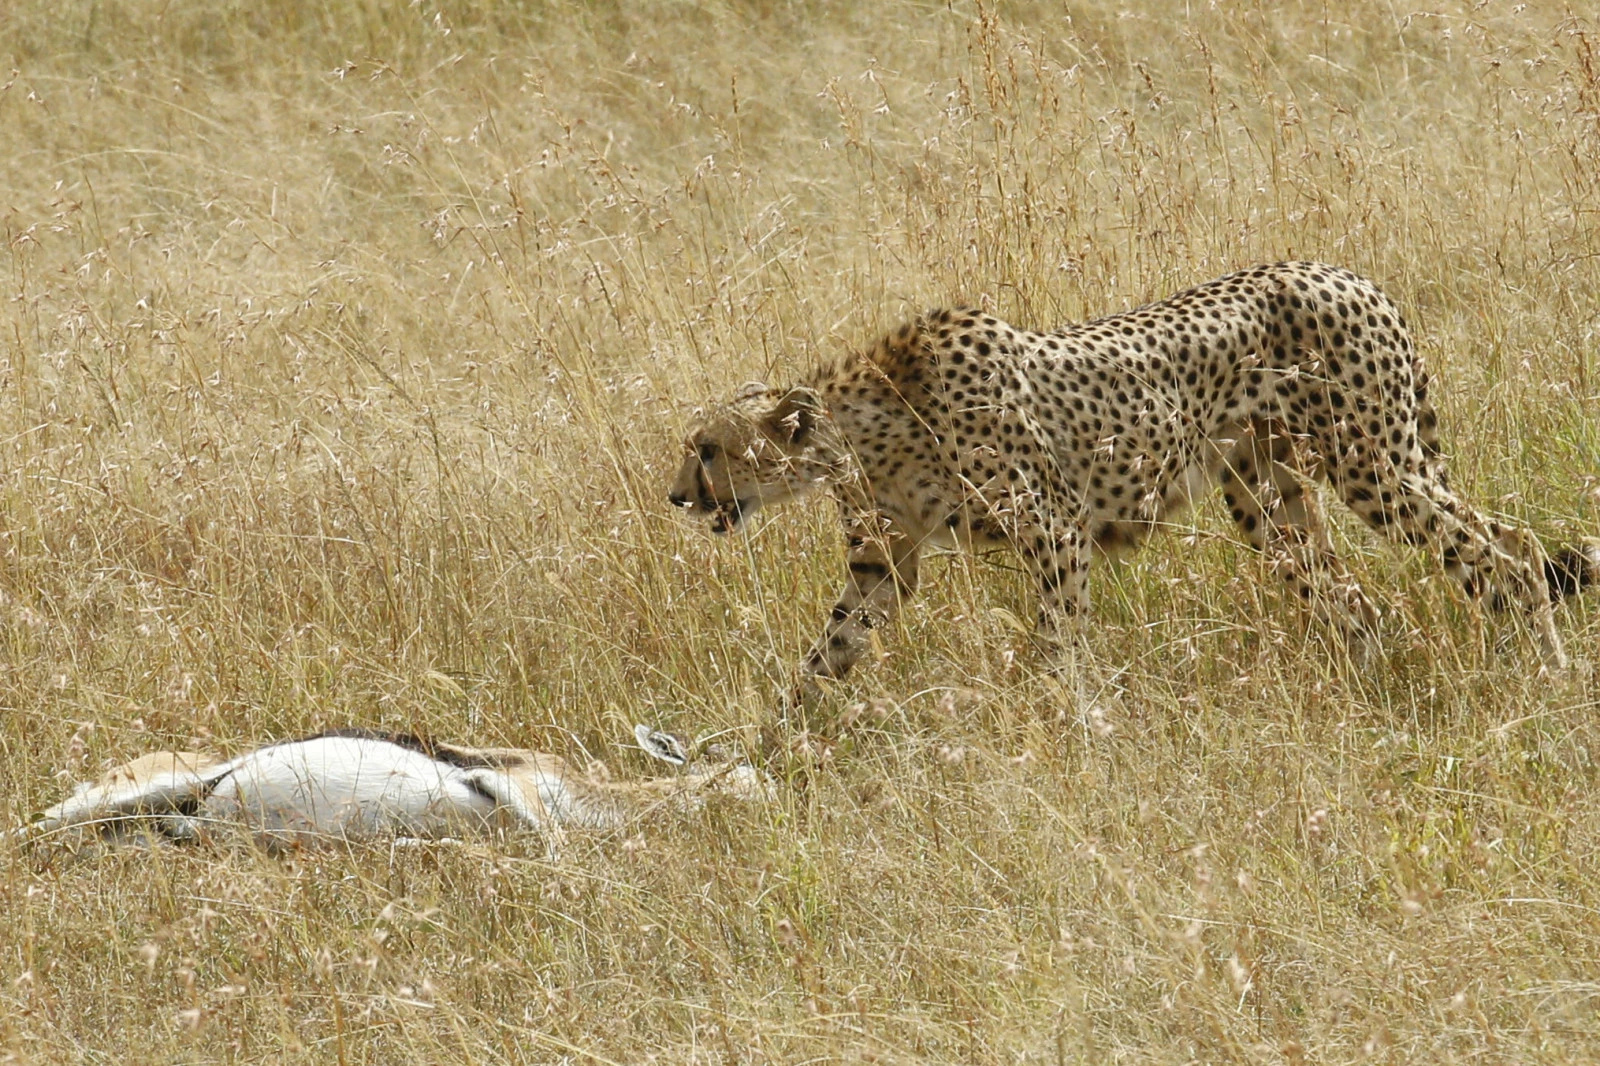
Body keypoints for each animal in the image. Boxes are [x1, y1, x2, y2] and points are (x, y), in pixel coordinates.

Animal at [668, 260, 1593, 685]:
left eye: (707, 447)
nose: (678, 496)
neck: (865, 428)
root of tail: (1345, 272)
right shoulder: (882, 563)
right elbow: (827, 649)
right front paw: (778, 743)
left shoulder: (1054, 530)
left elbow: (1057, 641)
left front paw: (1062, 724)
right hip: (1269, 496)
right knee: (1362, 595)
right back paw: (1368, 694)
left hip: (1372, 464)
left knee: (1506, 555)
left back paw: (1547, 673)